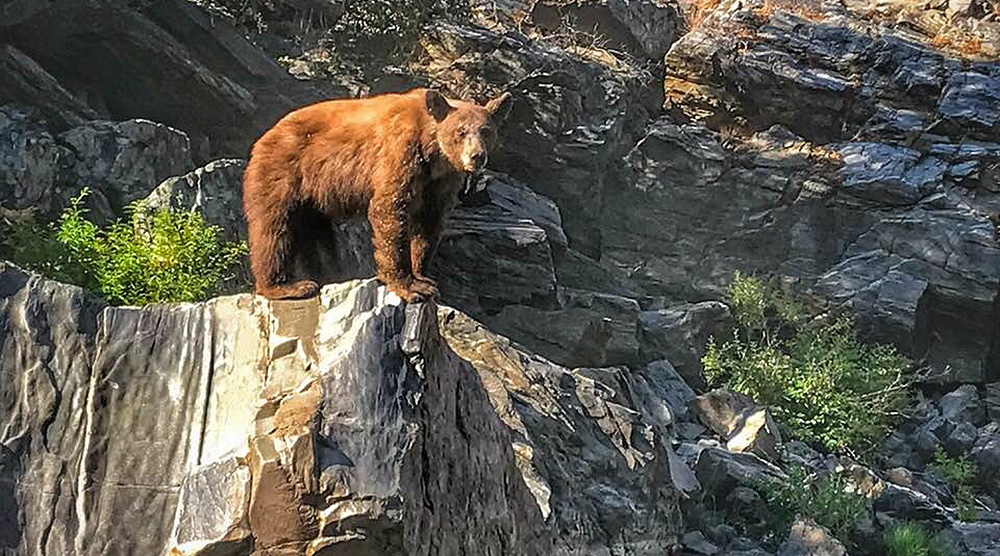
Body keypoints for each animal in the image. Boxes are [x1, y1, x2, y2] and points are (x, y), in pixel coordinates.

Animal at [243, 88, 516, 302]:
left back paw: (328, 275)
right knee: (274, 228)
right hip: (283, 172)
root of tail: (264, 137)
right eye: (460, 131)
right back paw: (286, 286)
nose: (477, 156)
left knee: (319, 237)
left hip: (314, 197)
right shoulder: (400, 151)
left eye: (486, 130)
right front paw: (410, 286)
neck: (432, 150)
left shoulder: (441, 180)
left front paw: (423, 276)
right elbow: (391, 208)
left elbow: (430, 221)